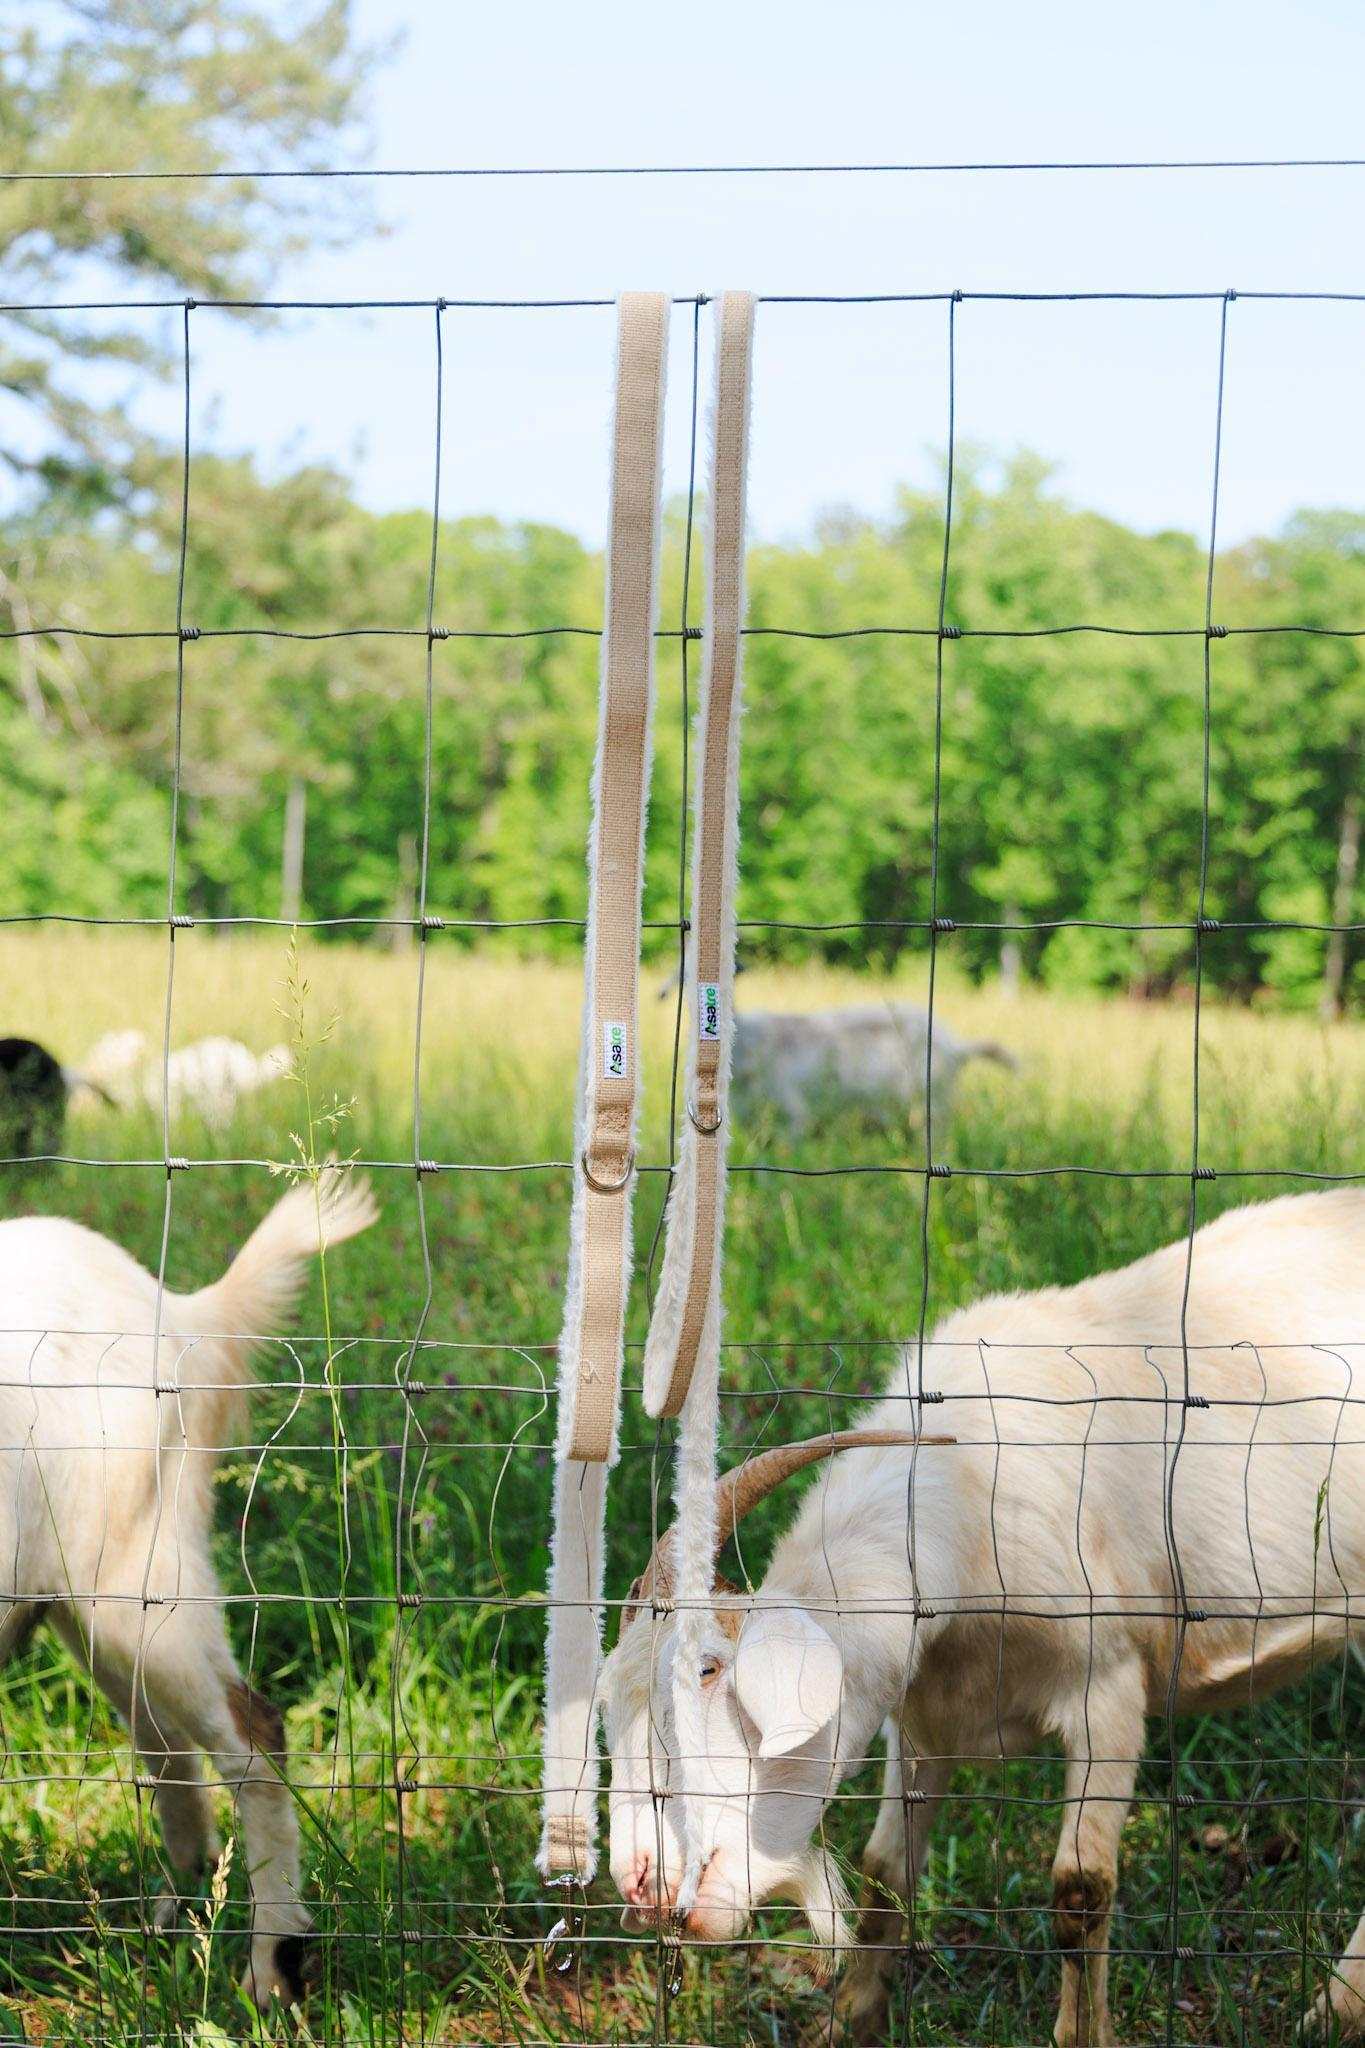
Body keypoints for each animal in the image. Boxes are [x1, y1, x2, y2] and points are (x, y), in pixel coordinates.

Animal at [0, 1168, 376, 2004]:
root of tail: (181, 1314)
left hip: (137, 1578)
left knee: (251, 1734)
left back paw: (271, 1968)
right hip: (85, 1597)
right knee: (166, 1746)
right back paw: (176, 1918)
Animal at [600, 1189, 1365, 2046]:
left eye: (707, 1670)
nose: (641, 1883)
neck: (965, 1496)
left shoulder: (1108, 1690)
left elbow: (1078, 1890)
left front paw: (1083, 2035)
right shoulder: (918, 1719)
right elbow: (886, 1873)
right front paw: (849, 2020)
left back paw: (1333, 2009)